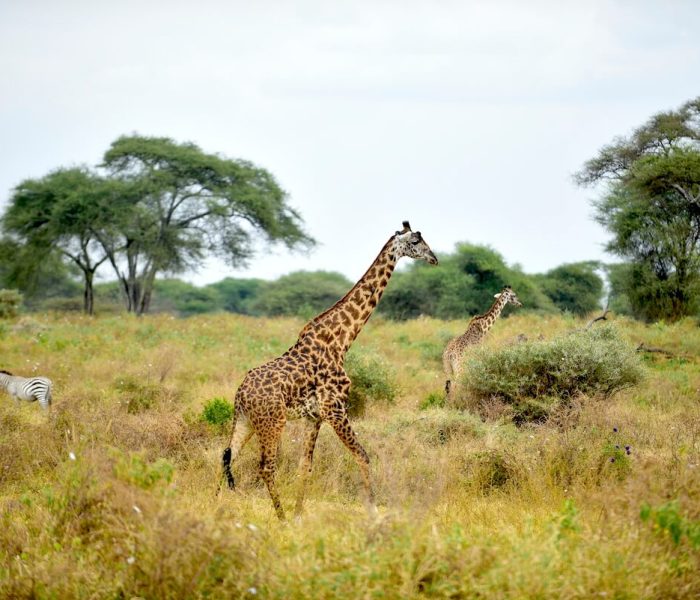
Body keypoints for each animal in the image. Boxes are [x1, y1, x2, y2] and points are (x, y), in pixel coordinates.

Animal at [219, 220, 438, 520]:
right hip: (272, 422)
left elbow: (305, 466)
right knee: (265, 466)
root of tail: (240, 394)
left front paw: (300, 514)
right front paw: (373, 513)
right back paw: (280, 517)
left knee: (227, 455)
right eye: (416, 241)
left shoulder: (314, 417)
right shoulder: (335, 409)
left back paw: (215, 507)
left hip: (244, 421)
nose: (434, 258)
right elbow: (362, 455)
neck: (342, 340)